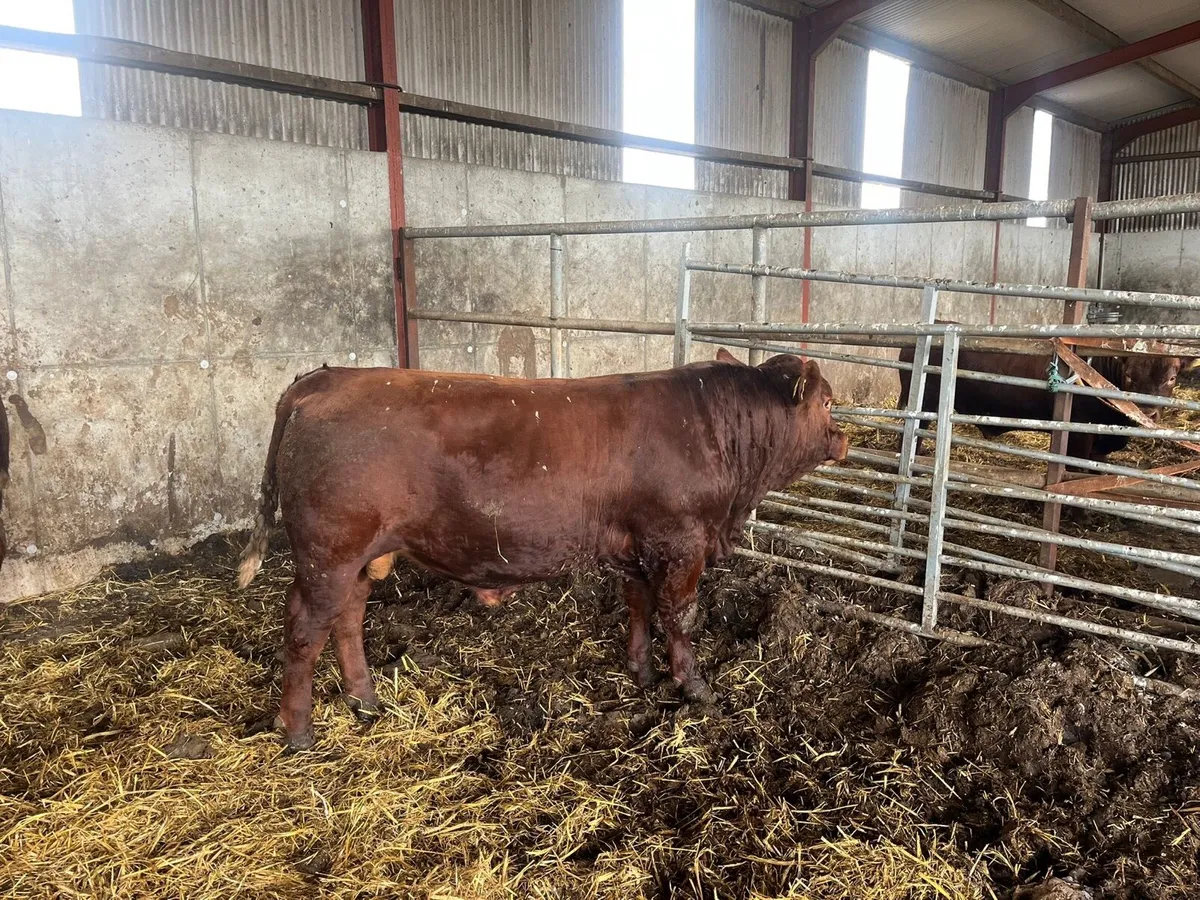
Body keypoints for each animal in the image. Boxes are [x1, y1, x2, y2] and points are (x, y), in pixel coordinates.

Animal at [237, 350, 848, 750]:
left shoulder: (637, 545)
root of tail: (323, 379)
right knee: (305, 628)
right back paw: (298, 730)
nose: (843, 437)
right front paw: (694, 685)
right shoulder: (680, 541)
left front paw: (642, 670)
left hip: (361, 558)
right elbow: (679, 612)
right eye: (828, 402)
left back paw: (365, 700)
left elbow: (638, 604)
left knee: (347, 619)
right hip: (329, 553)